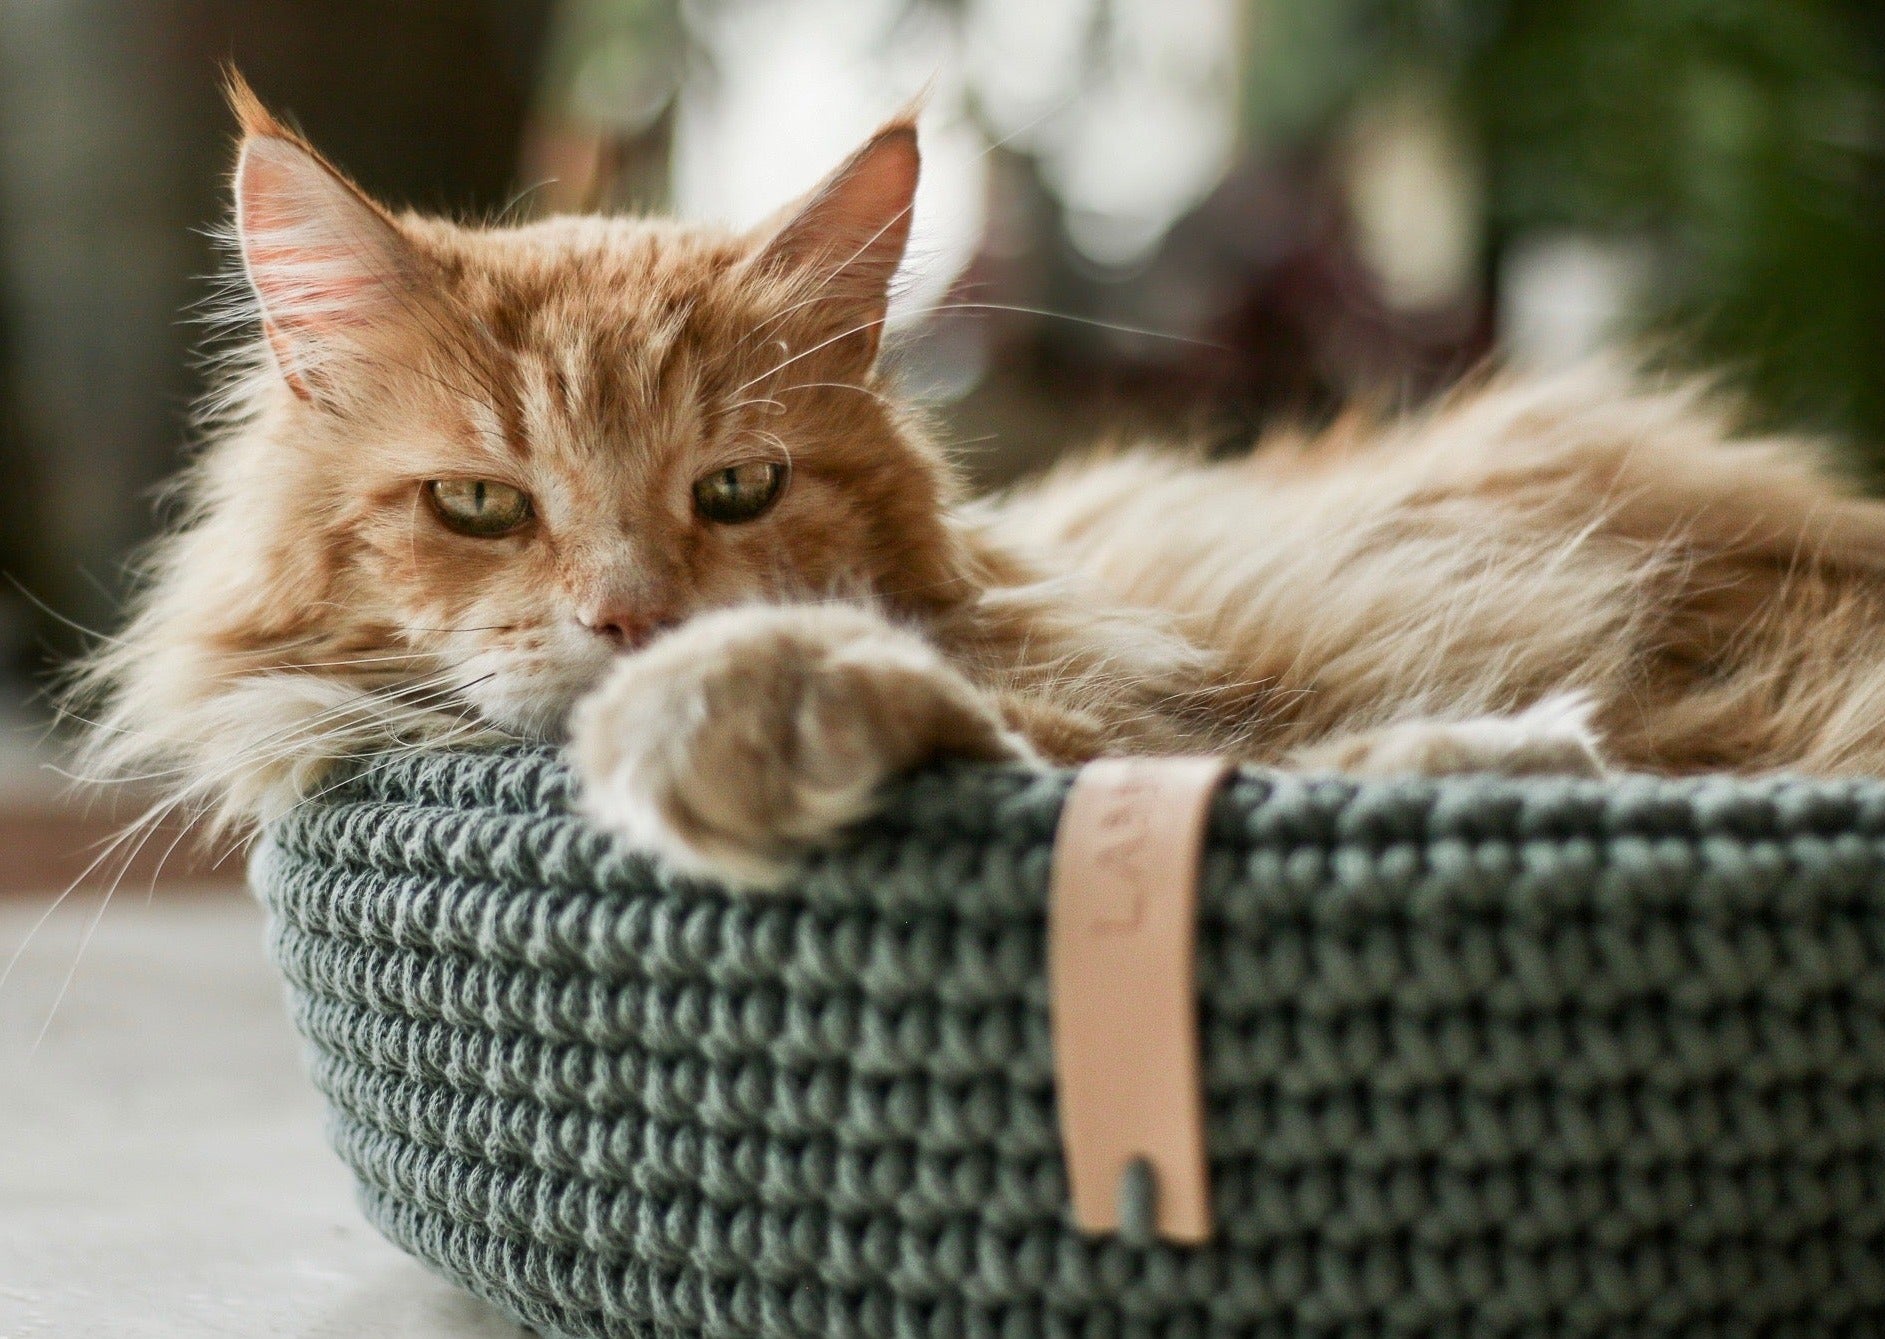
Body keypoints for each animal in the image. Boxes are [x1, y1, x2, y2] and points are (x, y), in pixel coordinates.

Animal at [73, 78, 1885, 886]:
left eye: (738, 490)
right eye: (479, 506)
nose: (633, 620)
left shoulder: (1130, 699)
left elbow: (1059, 744)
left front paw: (723, 709)